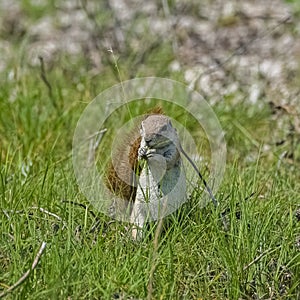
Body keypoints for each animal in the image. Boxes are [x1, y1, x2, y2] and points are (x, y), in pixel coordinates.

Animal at [105, 108, 185, 239]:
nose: (147, 139)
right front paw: (141, 152)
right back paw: (136, 238)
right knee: (137, 225)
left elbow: (168, 160)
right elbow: (139, 160)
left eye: (163, 128)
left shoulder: (174, 149)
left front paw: (155, 156)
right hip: (139, 211)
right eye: (142, 126)